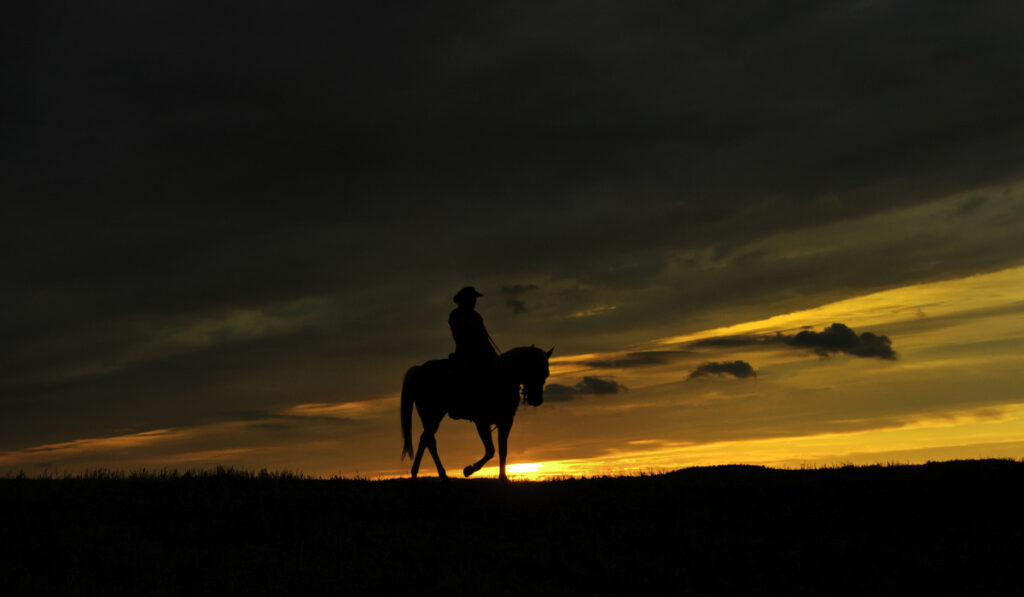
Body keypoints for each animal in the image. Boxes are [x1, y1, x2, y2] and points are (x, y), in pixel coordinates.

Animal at [399, 346, 552, 481]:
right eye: (534, 370)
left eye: (546, 374)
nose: (537, 400)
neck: (501, 378)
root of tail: (419, 370)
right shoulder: (482, 422)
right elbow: (490, 450)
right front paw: (469, 470)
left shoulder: (506, 421)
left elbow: (503, 450)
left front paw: (503, 477)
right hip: (433, 415)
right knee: (429, 440)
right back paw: (441, 475)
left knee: (425, 439)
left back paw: (419, 473)